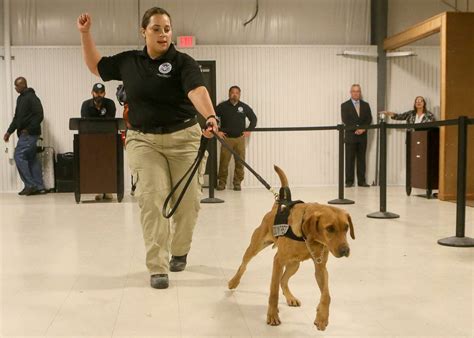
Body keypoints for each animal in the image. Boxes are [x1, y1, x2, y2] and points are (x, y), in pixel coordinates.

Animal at [228, 166, 354, 330]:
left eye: (346, 228)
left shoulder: (320, 267)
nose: (345, 251)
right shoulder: (277, 261)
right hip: (255, 247)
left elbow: (326, 295)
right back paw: (233, 281)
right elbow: (273, 292)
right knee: (244, 265)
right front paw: (272, 315)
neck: (308, 238)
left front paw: (322, 317)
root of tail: (278, 204)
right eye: (330, 229)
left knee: (283, 280)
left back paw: (290, 297)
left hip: (294, 265)